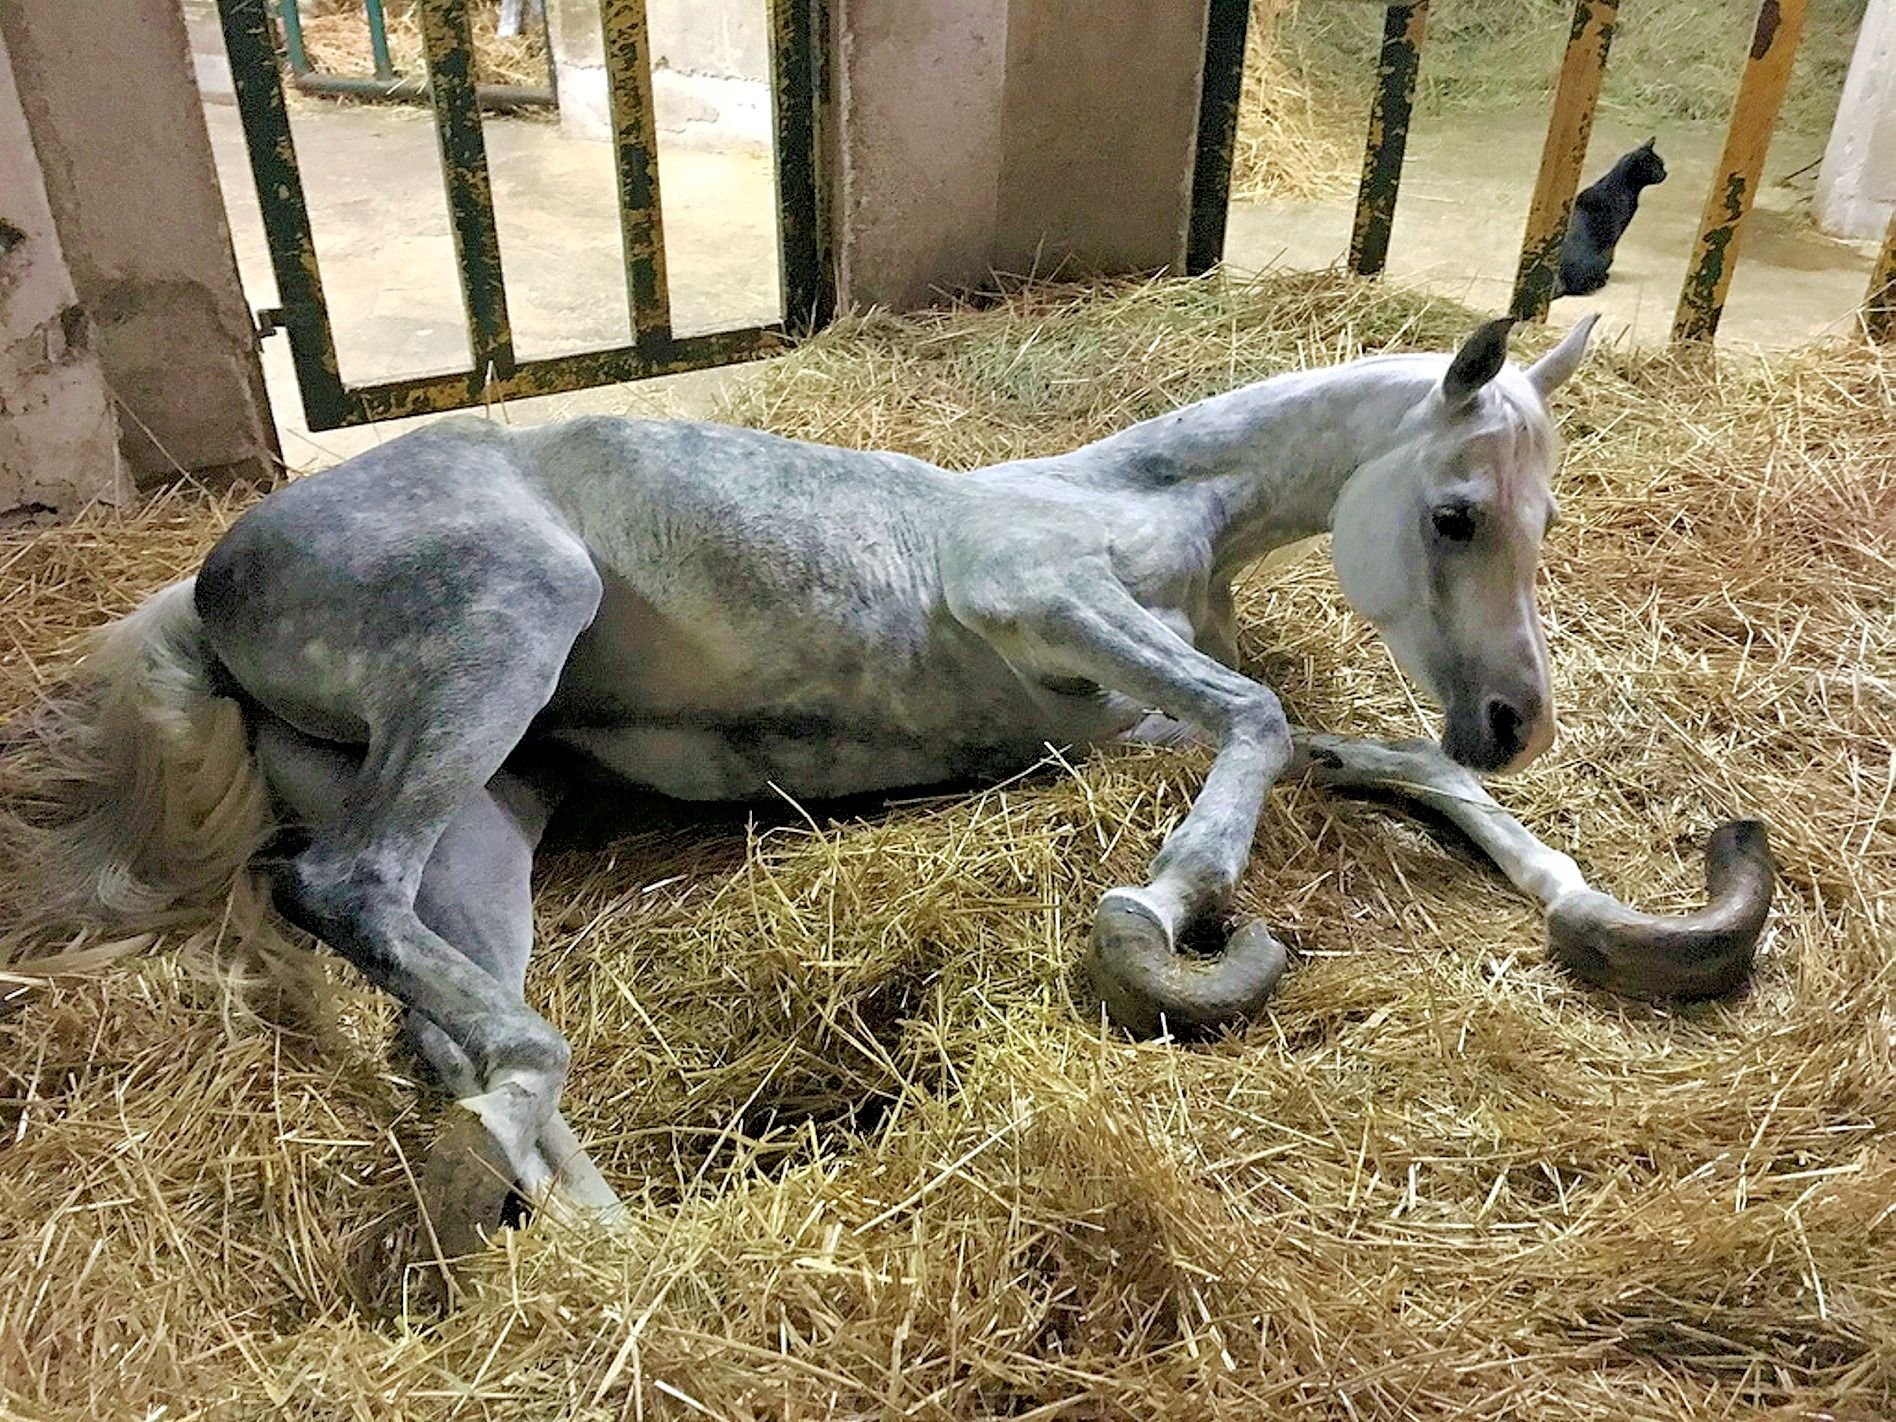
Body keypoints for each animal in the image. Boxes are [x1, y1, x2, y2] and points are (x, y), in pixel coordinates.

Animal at [7, 316, 1767, 1251]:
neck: (1152, 500)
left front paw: (1617, 905)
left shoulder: (1107, 723)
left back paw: (611, 1240)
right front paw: (1172, 907)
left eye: (1545, 517)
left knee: (433, 1022)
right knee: (348, 897)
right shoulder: (1040, 602)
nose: (1512, 720)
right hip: (504, 633)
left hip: (487, 815)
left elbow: (1344, 747)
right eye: (1460, 511)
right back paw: (552, 1102)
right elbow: (1265, 716)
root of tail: (205, 586)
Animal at [1562, 139, 1668, 297]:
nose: (1665, 173)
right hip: (1609, 253)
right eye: (1658, 166)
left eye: (1662, 164)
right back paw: (1602, 280)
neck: (1619, 184)